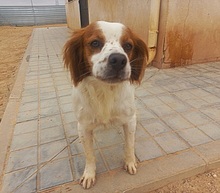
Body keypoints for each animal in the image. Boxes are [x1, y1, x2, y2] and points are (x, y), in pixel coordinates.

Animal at [62, 21, 148, 188]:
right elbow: (89, 154)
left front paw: (130, 162)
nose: (119, 60)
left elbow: (129, 145)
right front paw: (89, 174)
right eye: (95, 43)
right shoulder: (83, 126)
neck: (105, 90)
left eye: (128, 45)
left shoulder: (129, 120)